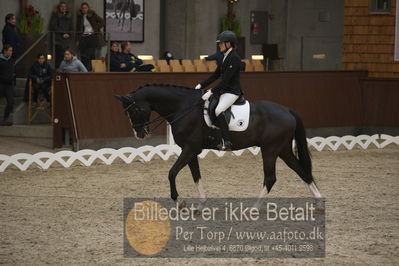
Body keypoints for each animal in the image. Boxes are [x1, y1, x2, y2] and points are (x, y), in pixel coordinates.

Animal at [115, 84, 322, 209]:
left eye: (134, 110)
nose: (140, 135)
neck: (184, 108)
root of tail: (287, 110)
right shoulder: (191, 151)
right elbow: (196, 176)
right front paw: (200, 205)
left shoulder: (189, 149)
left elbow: (172, 173)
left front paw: (179, 201)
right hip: (283, 150)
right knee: (302, 171)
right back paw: (319, 203)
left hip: (270, 150)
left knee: (270, 178)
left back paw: (252, 209)